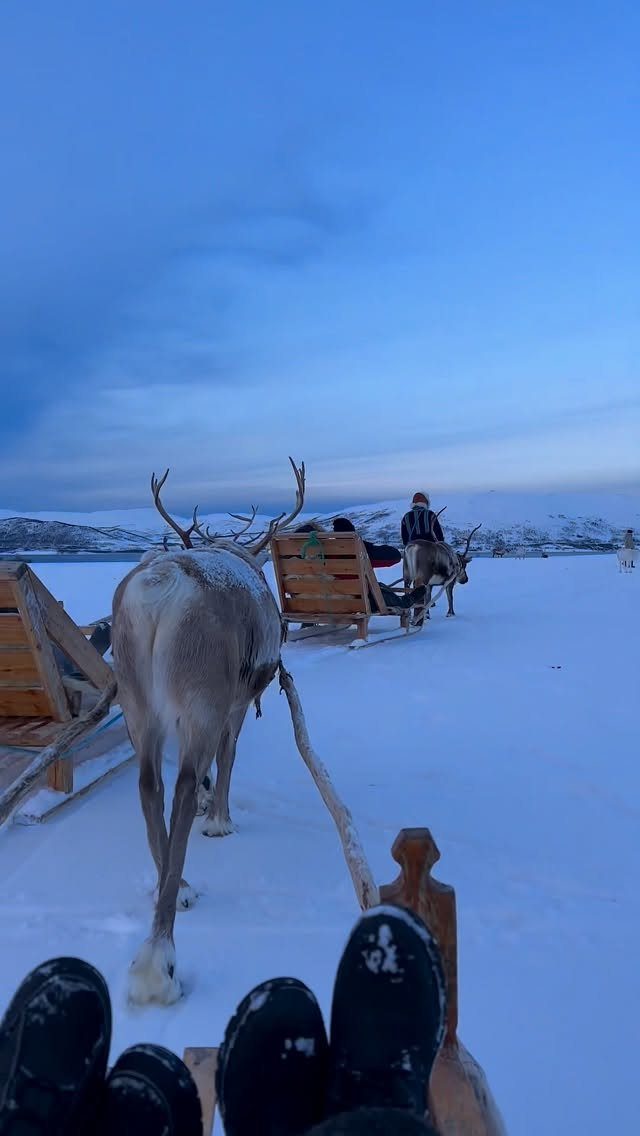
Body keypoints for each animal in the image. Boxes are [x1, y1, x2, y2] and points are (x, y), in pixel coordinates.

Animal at [111, 458, 306, 1005]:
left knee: (149, 785)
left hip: (137, 701)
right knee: (178, 785)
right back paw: (160, 957)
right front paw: (219, 818)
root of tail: (159, 592)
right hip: (201, 695)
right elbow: (229, 756)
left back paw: (177, 887)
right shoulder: (233, 705)